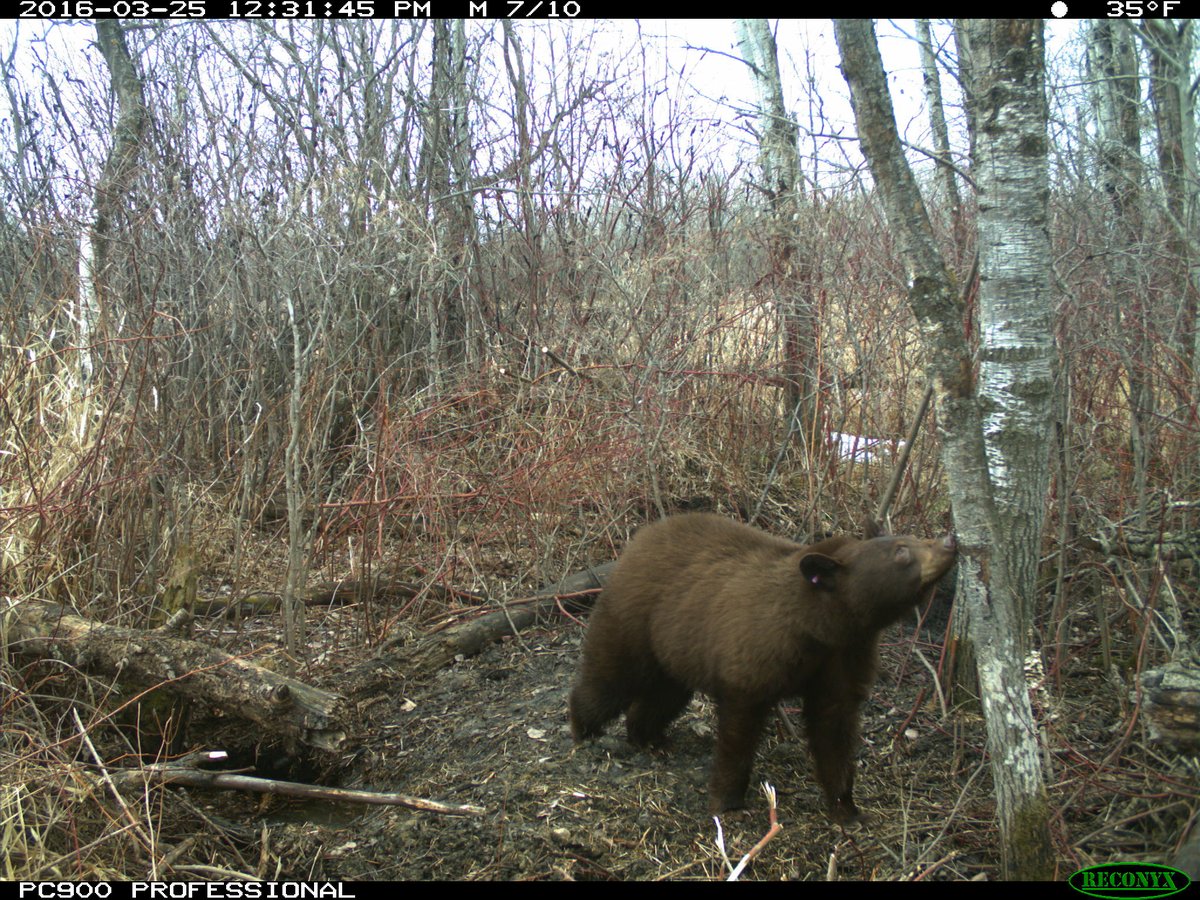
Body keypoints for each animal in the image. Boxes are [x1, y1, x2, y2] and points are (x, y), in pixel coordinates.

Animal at [568, 512, 956, 822]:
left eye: (910, 537)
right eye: (901, 551)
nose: (950, 541)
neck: (819, 627)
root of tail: (641, 538)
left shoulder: (844, 658)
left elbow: (834, 727)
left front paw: (846, 808)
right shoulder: (756, 656)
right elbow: (739, 732)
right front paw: (727, 801)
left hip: (677, 646)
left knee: (664, 695)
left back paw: (649, 738)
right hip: (634, 620)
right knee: (610, 679)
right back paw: (584, 730)